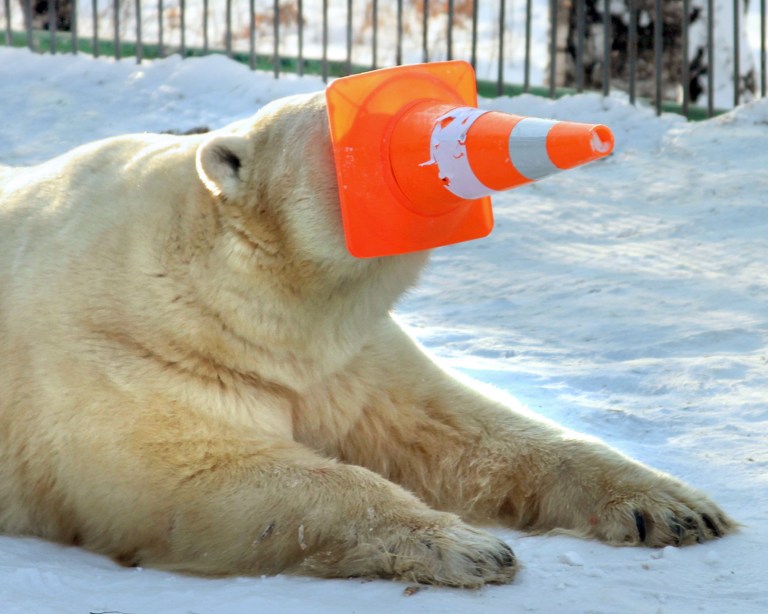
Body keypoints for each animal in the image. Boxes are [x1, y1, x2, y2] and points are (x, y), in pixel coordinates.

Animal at [0, 91, 732, 588]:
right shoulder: (127, 351)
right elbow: (197, 474)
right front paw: (468, 547)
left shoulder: (350, 358)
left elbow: (458, 433)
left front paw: (675, 508)